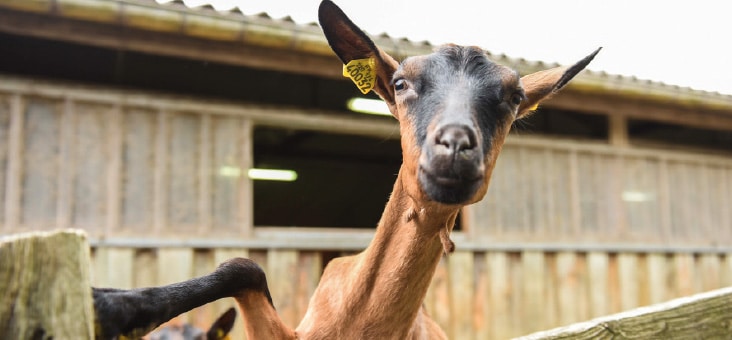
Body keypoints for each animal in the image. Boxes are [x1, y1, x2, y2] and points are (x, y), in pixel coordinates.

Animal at [91, 1, 596, 338]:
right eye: (400, 83)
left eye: (514, 97)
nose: (455, 147)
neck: (359, 322)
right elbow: (243, 266)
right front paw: (112, 307)